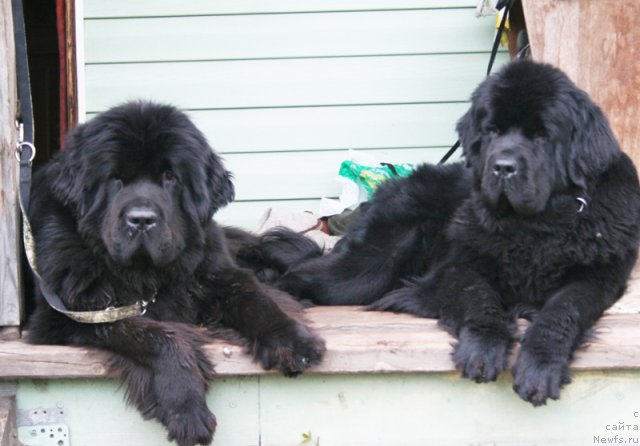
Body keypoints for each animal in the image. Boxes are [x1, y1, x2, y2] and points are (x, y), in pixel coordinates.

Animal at [26, 102, 324, 446]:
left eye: (170, 177)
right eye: (115, 178)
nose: (141, 219)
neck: (149, 275)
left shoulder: (219, 276)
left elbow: (256, 301)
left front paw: (294, 341)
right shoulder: (67, 315)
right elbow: (158, 337)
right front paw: (187, 409)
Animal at [244, 61, 640, 406]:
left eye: (542, 135)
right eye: (492, 131)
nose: (503, 167)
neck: (533, 227)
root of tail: (393, 185)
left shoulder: (597, 279)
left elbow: (562, 310)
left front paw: (540, 367)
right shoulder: (458, 266)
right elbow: (481, 299)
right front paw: (483, 349)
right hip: (364, 270)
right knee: (303, 275)